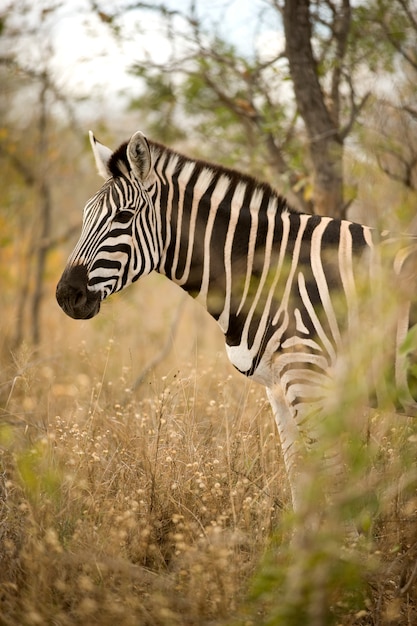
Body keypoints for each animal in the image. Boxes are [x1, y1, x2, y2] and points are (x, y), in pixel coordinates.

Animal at [55, 129, 416, 516]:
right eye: (85, 215)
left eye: (123, 216)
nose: (65, 295)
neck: (272, 272)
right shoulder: (279, 388)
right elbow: (299, 483)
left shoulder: (308, 379)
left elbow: (331, 485)